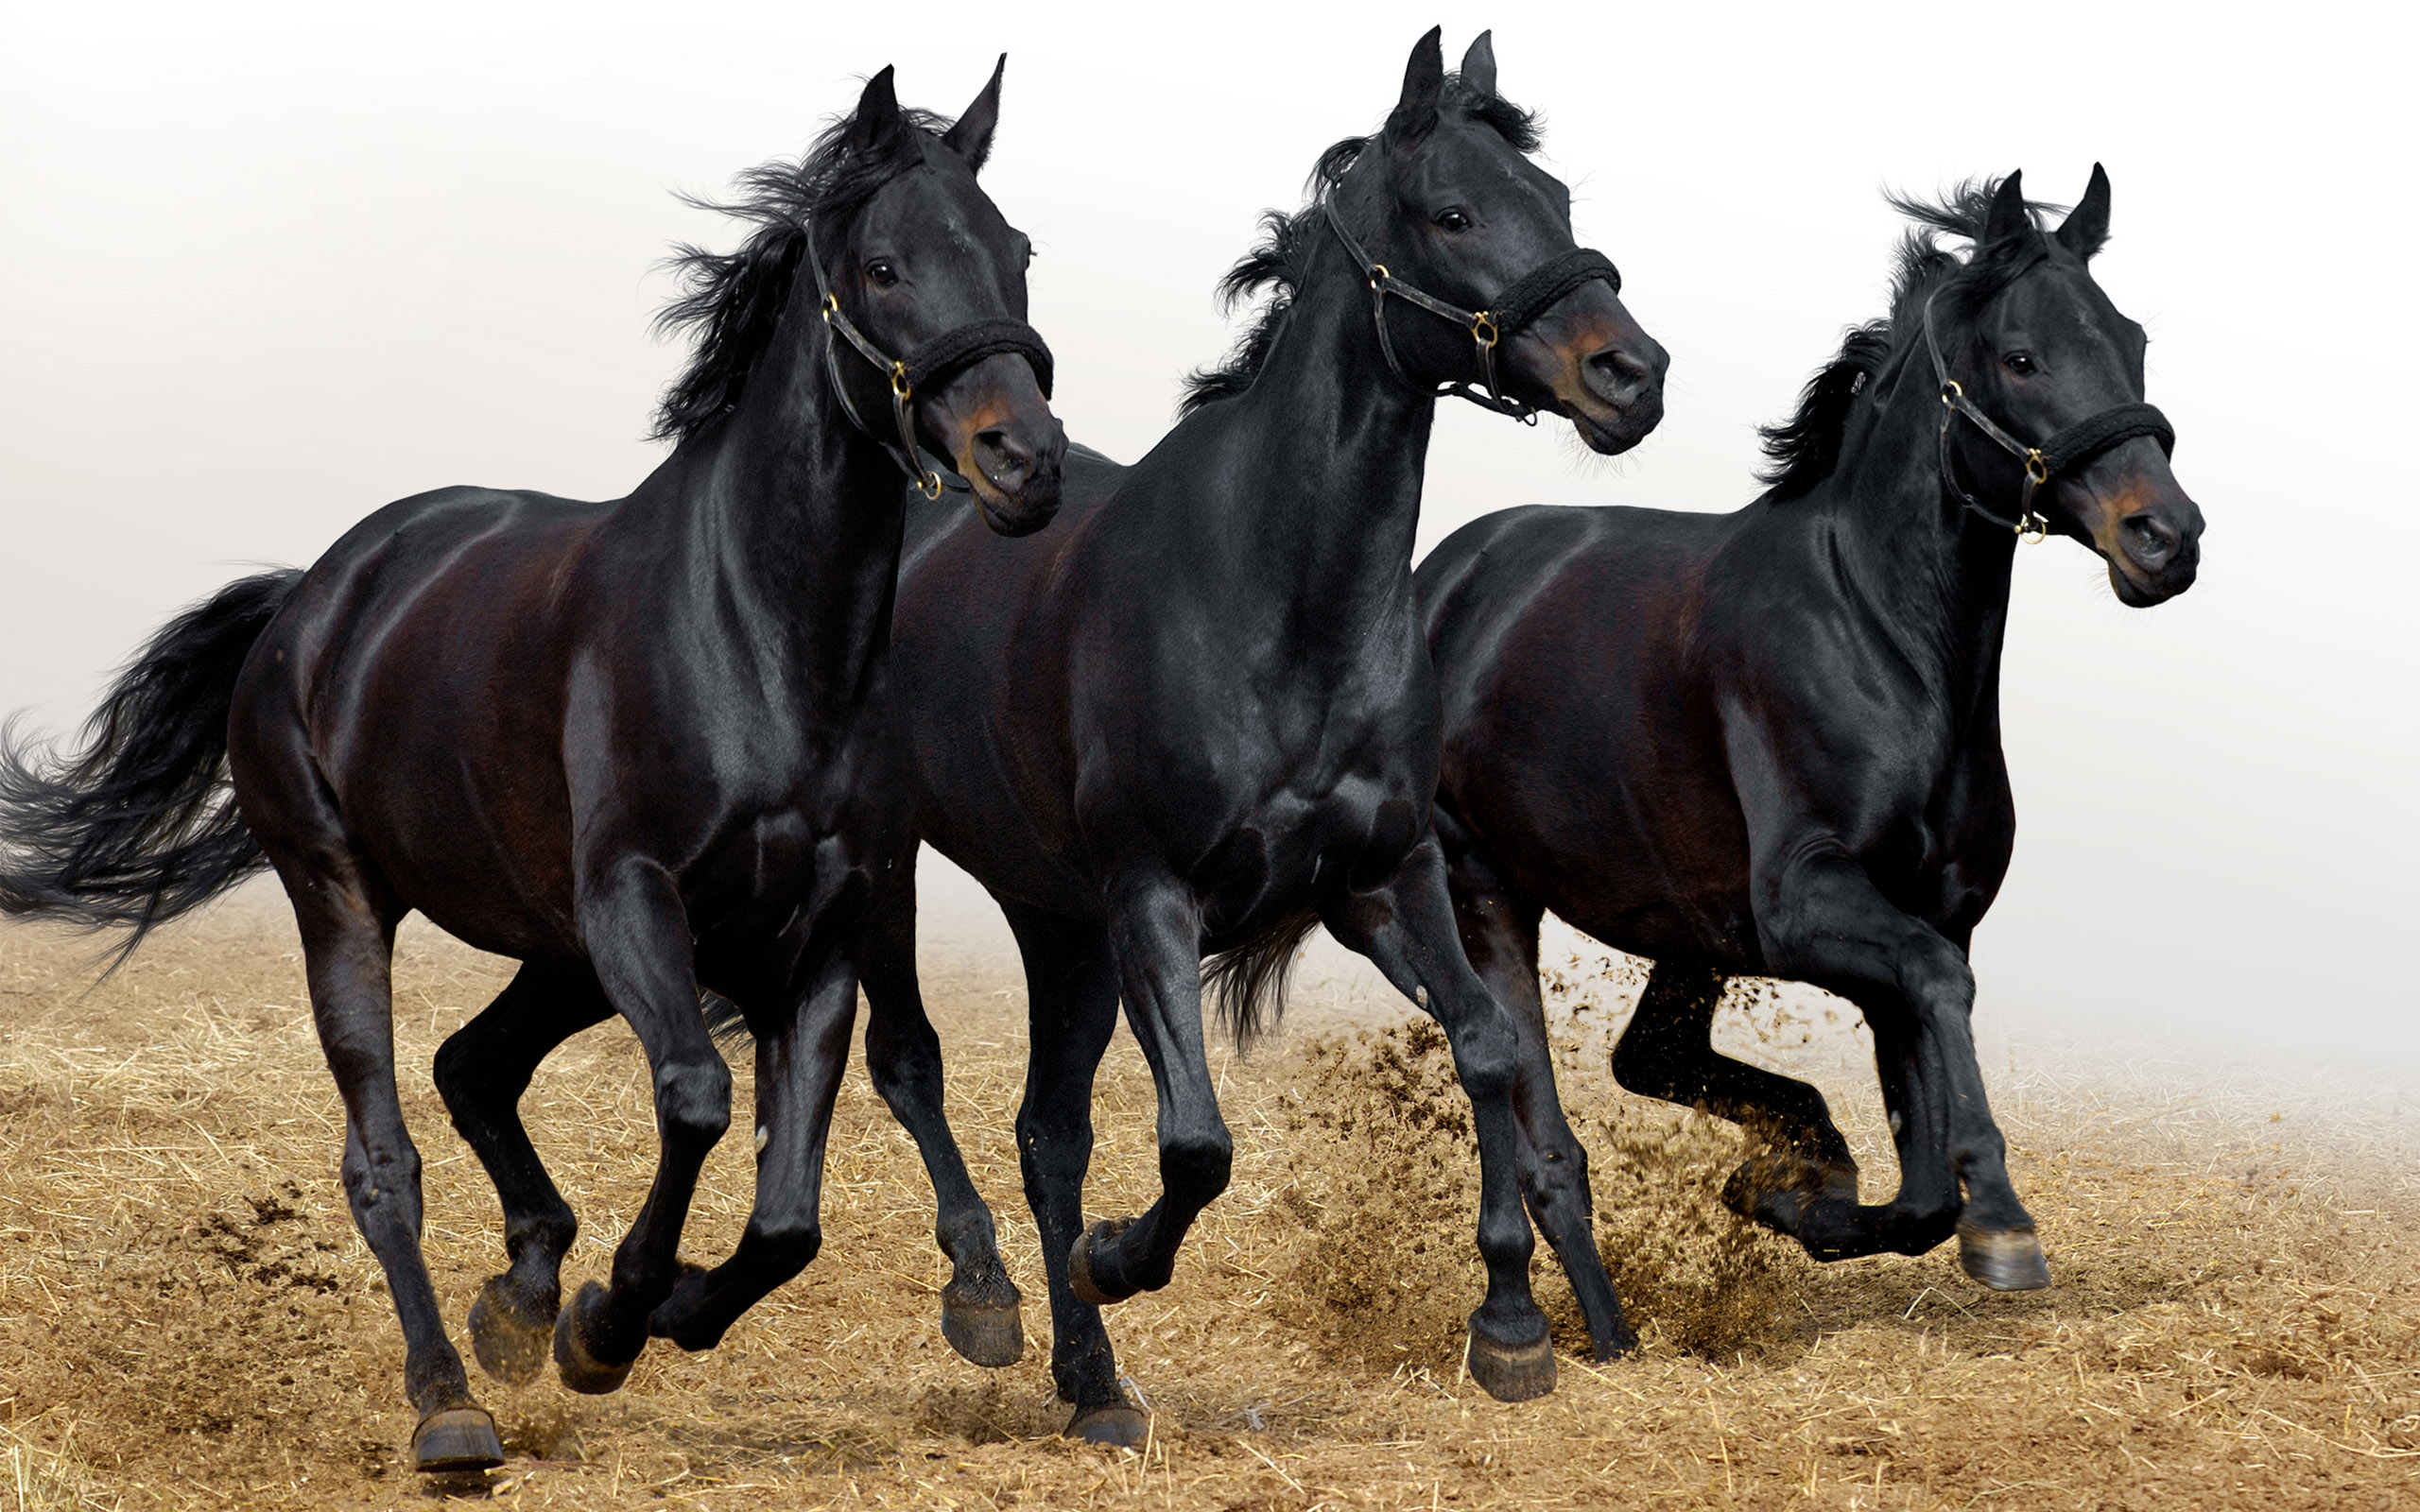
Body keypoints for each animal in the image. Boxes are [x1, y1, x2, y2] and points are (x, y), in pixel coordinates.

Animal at [0, 64, 1060, 1470]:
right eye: (883, 266)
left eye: (1018, 252)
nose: (1025, 462)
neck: (758, 636)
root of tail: (314, 598)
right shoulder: (635, 900)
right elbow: (697, 1097)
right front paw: (612, 1320)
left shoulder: (824, 927)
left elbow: (790, 1211)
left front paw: (648, 1310)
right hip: (349, 900)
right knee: (385, 1156)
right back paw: (451, 1402)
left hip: (555, 949)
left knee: (472, 1065)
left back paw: (520, 1294)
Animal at [832, 26, 1665, 1441]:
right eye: (1452, 212)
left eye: (1554, 200)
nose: (1632, 375)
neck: (1277, 604)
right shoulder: (1154, 901)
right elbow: (1195, 1144)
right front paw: (1116, 1258)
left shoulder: (1384, 878)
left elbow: (1490, 1051)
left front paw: (1510, 1327)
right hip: (900, 867)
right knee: (911, 1065)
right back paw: (994, 1301)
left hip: (1057, 921)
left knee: (1047, 1131)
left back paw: (1092, 1386)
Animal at [1413, 174, 2206, 1286]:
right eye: (2021, 357)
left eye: (2131, 340)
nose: (2166, 537)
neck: (1882, 641)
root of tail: (1440, 579)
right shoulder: (1808, 902)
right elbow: (1940, 997)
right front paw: (2001, 1220)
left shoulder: (1922, 913)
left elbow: (1921, 1180)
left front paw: (1795, 1195)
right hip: (1487, 889)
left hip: (1688, 928)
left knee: (1648, 1055)